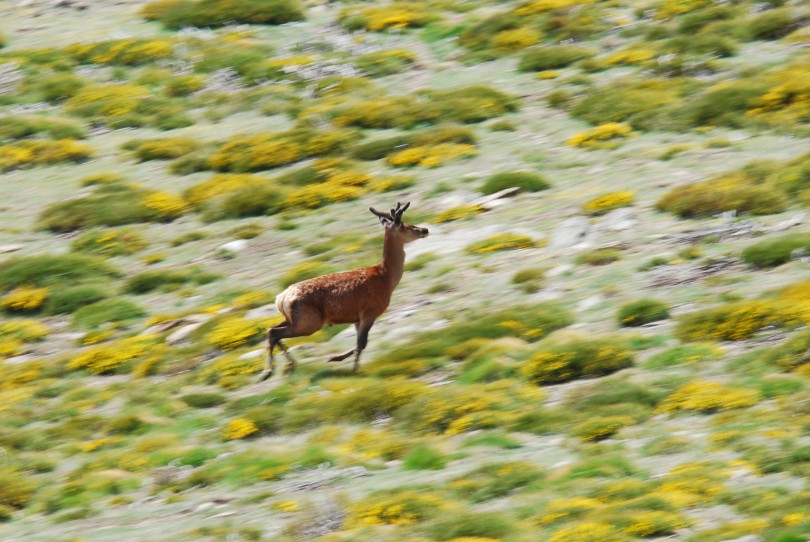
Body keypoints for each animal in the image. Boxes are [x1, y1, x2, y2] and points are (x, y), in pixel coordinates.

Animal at [257, 201, 429, 381]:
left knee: (271, 330)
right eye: (406, 225)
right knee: (275, 333)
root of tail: (280, 298)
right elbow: (362, 344)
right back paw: (269, 372)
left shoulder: (356, 318)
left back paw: (287, 367)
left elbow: (360, 343)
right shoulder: (369, 311)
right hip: (309, 321)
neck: (386, 279)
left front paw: (336, 358)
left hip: (293, 318)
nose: (425, 230)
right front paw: (352, 369)